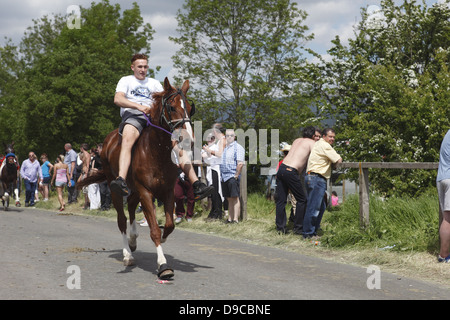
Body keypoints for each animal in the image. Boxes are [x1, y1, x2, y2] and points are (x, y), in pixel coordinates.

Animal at [78, 78, 194, 280]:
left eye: (188, 107)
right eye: (172, 107)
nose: (187, 139)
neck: (156, 151)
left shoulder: (167, 191)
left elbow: (169, 224)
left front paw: (164, 237)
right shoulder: (146, 191)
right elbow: (154, 230)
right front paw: (163, 266)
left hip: (133, 189)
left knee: (131, 206)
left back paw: (133, 240)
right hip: (117, 189)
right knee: (122, 219)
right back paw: (127, 255)